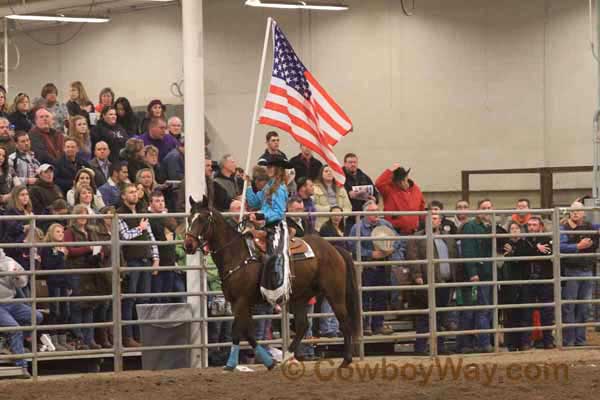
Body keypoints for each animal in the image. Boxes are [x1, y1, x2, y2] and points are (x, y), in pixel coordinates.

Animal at [185, 195, 358, 370]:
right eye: (189, 218)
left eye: (203, 219)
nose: (188, 245)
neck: (236, 253)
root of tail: (335, 249)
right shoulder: (238, 303)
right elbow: (248, 333)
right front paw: (269, 362)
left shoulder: (242, 300)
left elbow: (237, 330)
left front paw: (231, 364)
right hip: (300, 297)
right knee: (303, 325)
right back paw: (287, 357)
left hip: (334, 293)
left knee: (345, 323)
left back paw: (346, 360)